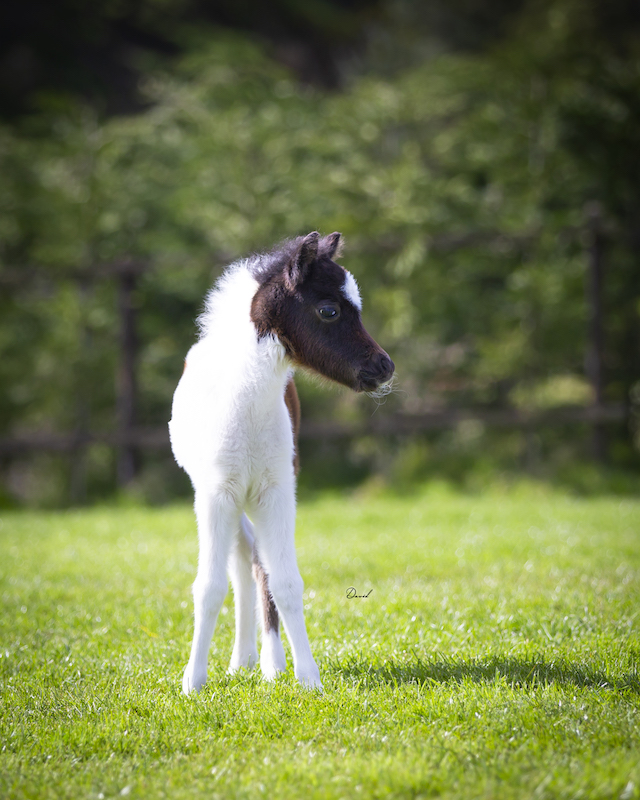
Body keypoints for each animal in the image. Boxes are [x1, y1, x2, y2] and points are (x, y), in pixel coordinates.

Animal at [169, 231, 394, 692]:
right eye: (328, 310)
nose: (384, 366)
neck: (245, 406)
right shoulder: (216, 495)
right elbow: (209, 586)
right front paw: (193, 682)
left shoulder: (277, 492)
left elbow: (286, 581)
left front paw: (308, 678)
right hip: (228, 499)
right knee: (242, 560)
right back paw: (242, 662)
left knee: (255, 563)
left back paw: (266, 665)